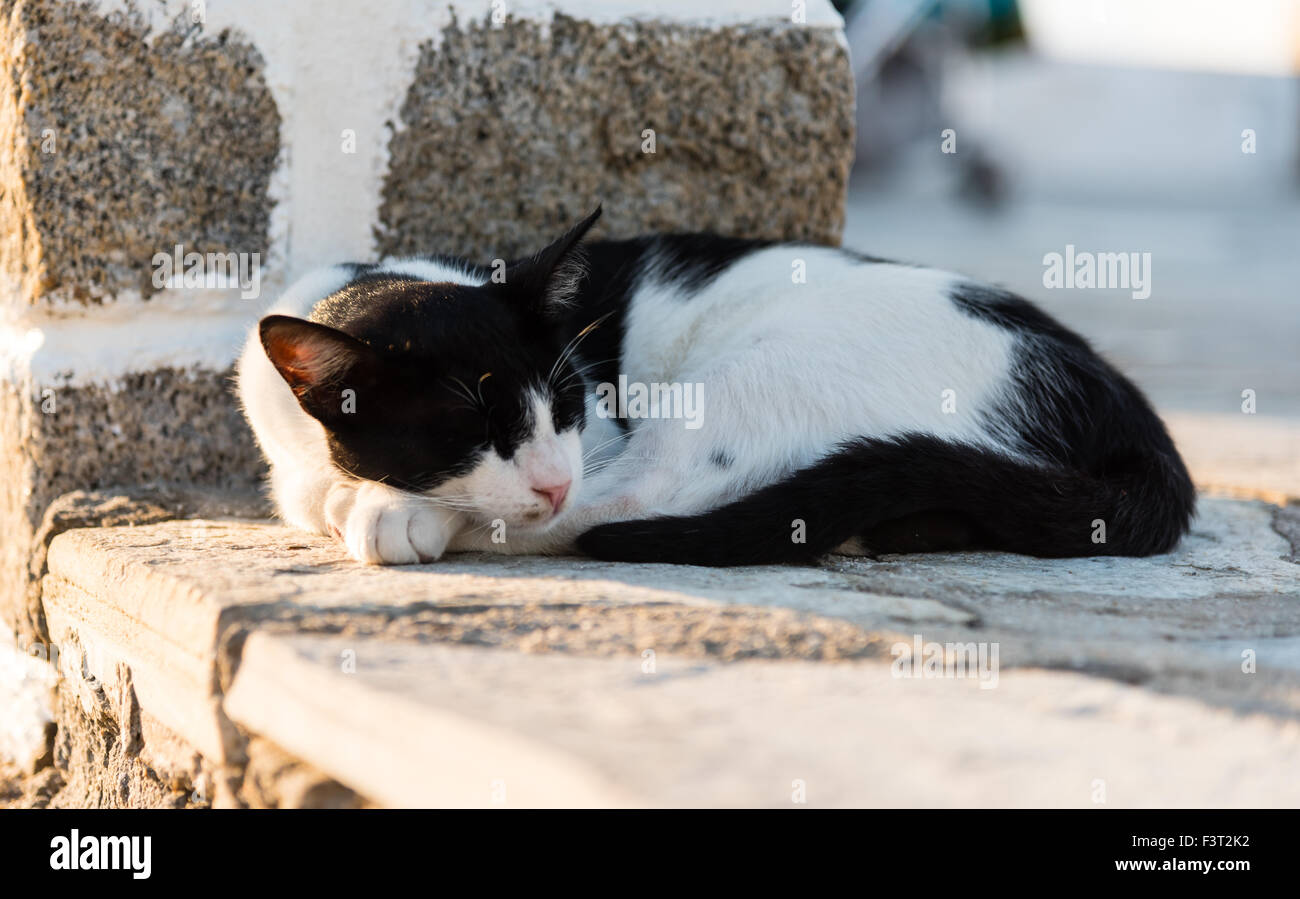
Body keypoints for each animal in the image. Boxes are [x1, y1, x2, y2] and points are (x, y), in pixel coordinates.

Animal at [239, 206, 1190, 566]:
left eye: (570, 403)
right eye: (466, 427)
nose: (551, 478)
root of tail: (1120, 401)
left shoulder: (596, 443)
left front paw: (394, 509)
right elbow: (305, 490)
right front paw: (346, 496)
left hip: (763, 368)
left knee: (635, 503)